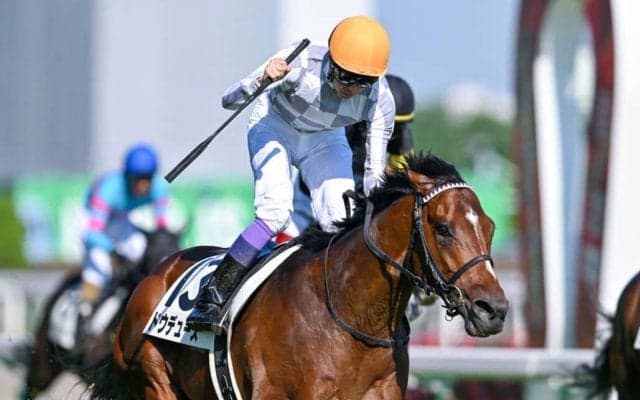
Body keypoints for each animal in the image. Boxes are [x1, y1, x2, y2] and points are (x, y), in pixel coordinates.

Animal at [87, 152, 509, 400]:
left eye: (490, 227)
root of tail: (157, 273)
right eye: (443, 228)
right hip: (155, 379)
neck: (350, 313)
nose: (493, 309)